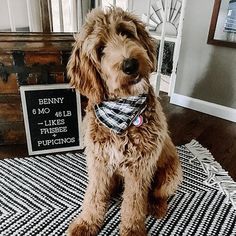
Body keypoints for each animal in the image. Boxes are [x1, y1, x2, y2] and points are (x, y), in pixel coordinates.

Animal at [66, 6, 183, 235]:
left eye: (125, 32)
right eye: (100, 49)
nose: (130, 65)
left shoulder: (139, 168)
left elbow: (134, 202)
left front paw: (132, 228)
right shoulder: (98, 162)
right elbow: (93, 195)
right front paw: (87, 222)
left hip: (172, 174)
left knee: (158, 193)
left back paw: (156, 206)